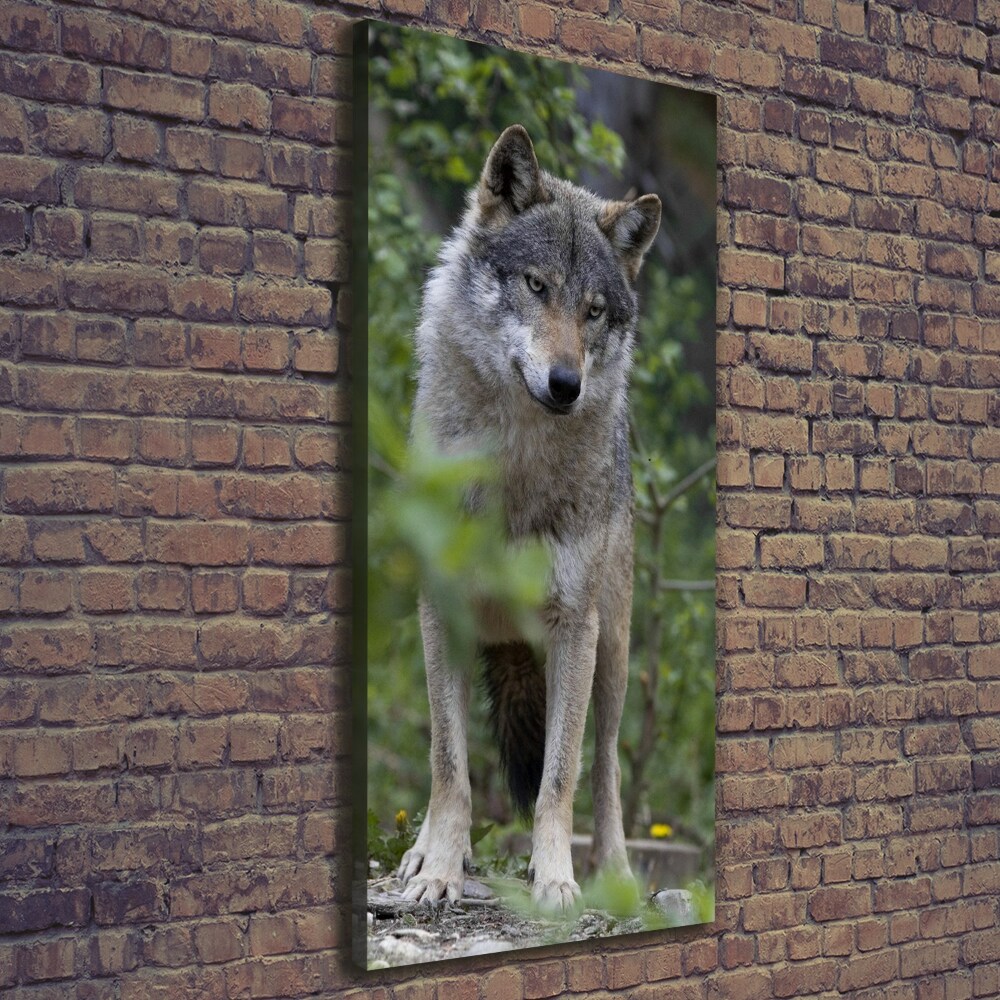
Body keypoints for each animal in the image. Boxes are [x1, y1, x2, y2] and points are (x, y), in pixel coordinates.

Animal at [398, 125, 664, 916]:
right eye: (537, 286)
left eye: (595, 310)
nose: (566, 384)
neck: (511, 471)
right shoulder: (441, 610)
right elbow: (448, 765)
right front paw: (439, 871)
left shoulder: (575, 626)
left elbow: (561, 778)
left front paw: (556, 880)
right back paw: (423, 850)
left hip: (613, 652)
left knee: (608, 770)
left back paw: (616, 875)